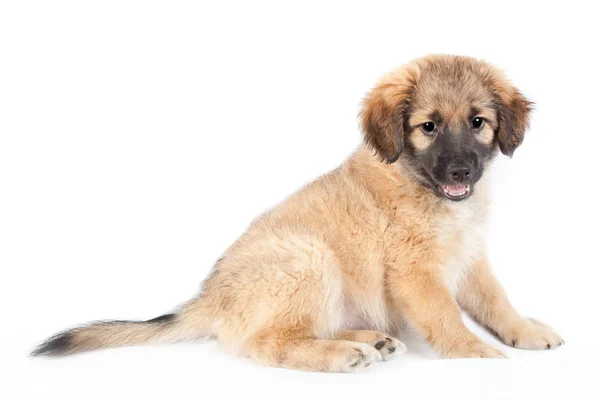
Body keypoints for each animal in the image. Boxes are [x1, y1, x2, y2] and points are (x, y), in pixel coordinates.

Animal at [32, 54, 564, 372]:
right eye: (428, 127)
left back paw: (370, 340)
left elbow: (497, 302)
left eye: (478, 123)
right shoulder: (416, 270)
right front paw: (475, 352)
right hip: (309, 258)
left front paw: (525, 332)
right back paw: (342, 353)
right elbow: (447, 315)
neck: (423, 187)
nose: (460, 172)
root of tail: (210, 298)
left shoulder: (470, 258)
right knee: (268, 342)